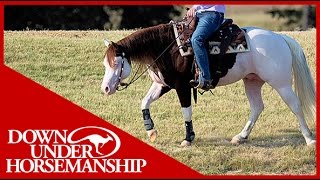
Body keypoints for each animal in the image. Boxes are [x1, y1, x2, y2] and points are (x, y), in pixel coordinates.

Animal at [101, 20, 316, 146]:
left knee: (296, 105)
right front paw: (151, 130)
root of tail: (280, 37)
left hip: (281, 83)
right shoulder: (163, 85)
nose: (105, 88)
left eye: (117, 62)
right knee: (257, 107)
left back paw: (309, 138)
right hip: (252, 81)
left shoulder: (182, 86)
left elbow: (186, 111)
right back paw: (240, 137)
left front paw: (188, 139)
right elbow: (144, 102)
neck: (166, 48)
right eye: (105, 63)